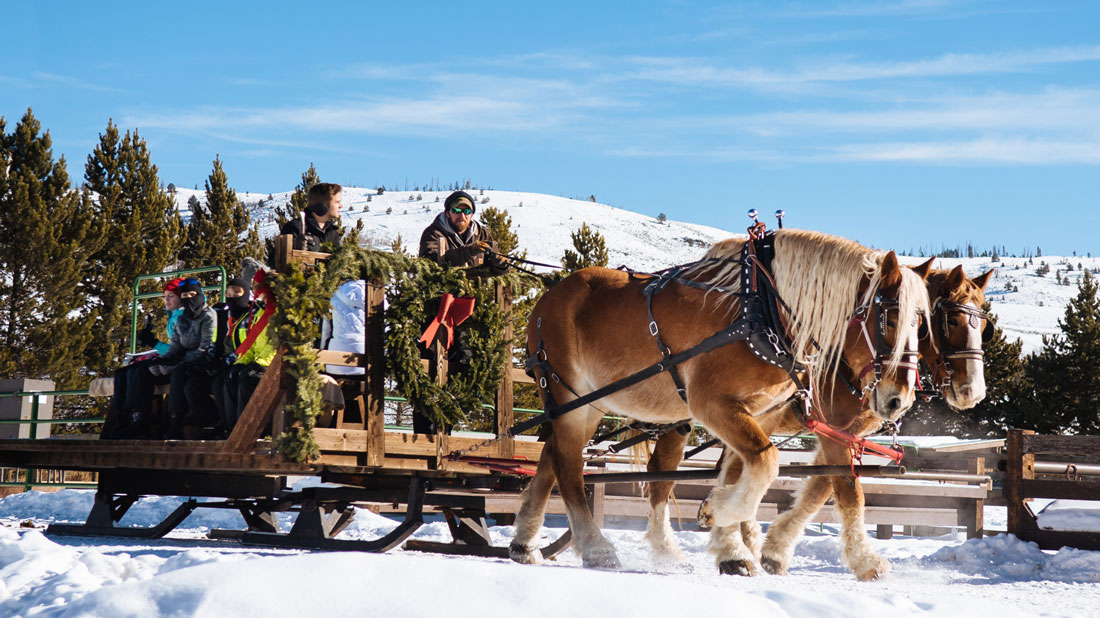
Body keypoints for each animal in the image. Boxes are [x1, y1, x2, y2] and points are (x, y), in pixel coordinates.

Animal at [510, 228, 932, 571]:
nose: (899, 400)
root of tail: (547, 297)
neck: (764, 307)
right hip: (571, 397)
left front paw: (731, 545)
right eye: (888, 318)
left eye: (922, 325)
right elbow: (769, 463)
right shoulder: (712, 404)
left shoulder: (758, 413)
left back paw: (525, 542)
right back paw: (596, 548)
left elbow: (744, 470)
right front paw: (720, 513)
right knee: (568, 467)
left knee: (552, 458)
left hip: (585, 405)